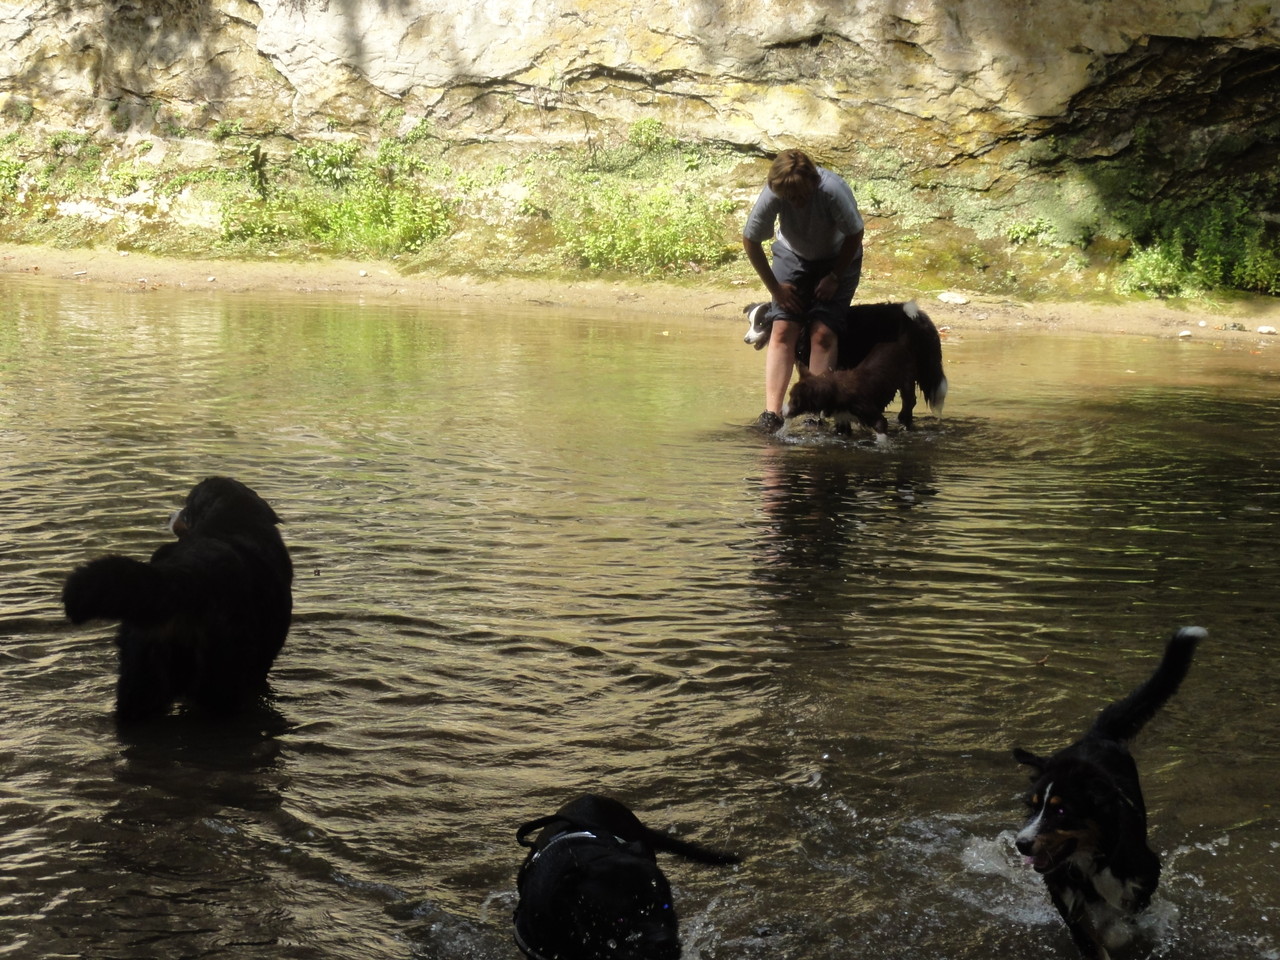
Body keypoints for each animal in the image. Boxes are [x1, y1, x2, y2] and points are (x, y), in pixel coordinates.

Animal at [1008, 627, 1198, 957]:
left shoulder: (1145, 877)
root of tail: (1095, 736)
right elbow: (1091, 941)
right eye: (1032, 807)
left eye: (1061, 810)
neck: (1089, 863)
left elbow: (1120, 927)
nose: (1021, 844)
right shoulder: (1065, 897)